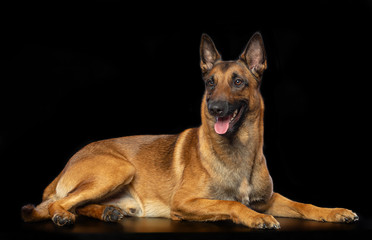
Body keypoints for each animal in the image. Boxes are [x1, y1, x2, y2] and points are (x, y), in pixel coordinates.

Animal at [20, 31, 358, 229]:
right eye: (209, 83)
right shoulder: (184, 204)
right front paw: (256, 218)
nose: (215, 108)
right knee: (54, 205)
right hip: (119, 168)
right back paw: (64, 215)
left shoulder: (269, 198)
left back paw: (107, 212)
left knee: (78, 204)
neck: (239, 151)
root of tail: (67, 164)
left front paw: (333, 211)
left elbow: (303, 204)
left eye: (238, 81)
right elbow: (229, 203)